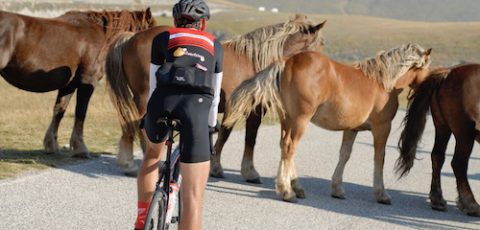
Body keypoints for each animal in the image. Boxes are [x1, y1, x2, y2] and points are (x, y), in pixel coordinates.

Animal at [0, 7, 155, 158]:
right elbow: (81, 112)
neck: (102, 36)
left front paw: (51, 145)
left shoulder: (69, 85)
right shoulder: (87, 81)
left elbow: (59, 110)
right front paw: (80, 148)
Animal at [105, 14, 326, 174]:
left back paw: (128, 163)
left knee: (129, 124)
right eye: (321, 43)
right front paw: (217, 166)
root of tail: (132, 38)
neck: (253, 61)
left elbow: (250, 137)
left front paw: (248, 171)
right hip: (147, 98)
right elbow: (226, 135)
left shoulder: (253, 109)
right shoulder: (236, 107)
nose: (324, 67)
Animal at [223, 43, 434, 203]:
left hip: (287, 120)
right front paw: (381, 194)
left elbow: (345, 155)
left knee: (285, 147)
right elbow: (379, 159)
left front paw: (337, 189)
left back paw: (296, 187)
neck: (383, 82)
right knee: (290, 147)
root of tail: (287, 62)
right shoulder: (382, 128)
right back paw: (287, 191)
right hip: (300, 119)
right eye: (427, 68)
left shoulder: (351, 129)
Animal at [396, 63, 480, 217]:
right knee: (459, 164)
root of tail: (447, 73)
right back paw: (471, 204)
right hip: (464, 133)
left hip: (442, 127)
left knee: (437, 156)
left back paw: (437, 199)